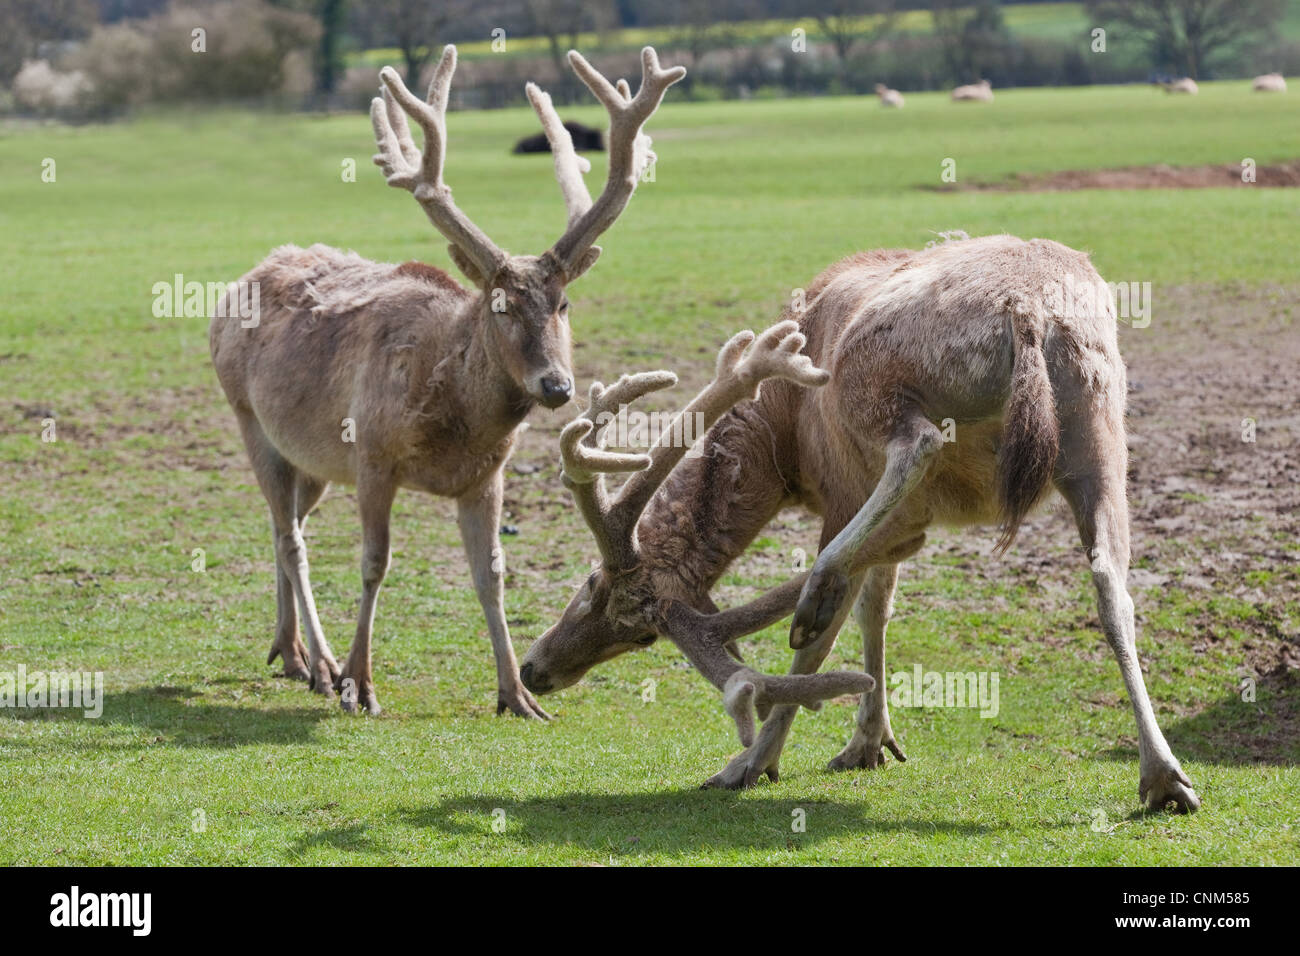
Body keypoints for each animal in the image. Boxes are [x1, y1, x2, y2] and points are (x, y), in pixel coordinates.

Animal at [208, 44, 686, 717]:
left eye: (563, 303)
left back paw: (291, 654)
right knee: (291, 539)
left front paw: (517, 694)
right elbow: (374, 563)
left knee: (285, 527)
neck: (453, 426)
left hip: (310, 458)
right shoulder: (372, 454)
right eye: (500, 304)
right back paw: (323, 666)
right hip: (249, 417)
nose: (557, 386)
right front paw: (360, 685)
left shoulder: (486, 474)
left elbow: (491, 574)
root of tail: (237, 284)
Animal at [517, 234, 1196, 816]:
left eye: (592, 589)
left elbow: (828, 637)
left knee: (915, 445)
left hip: (870, 383)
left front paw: (753, 764)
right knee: (1111, 583)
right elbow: (879, 606)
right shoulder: (900, 523)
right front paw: (871, 742)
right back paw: (1166, 777)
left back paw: (814, 596)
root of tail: (1029, 314)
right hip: (1100, 433)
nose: (534, 671)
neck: (781, 442)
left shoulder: (844, 491)